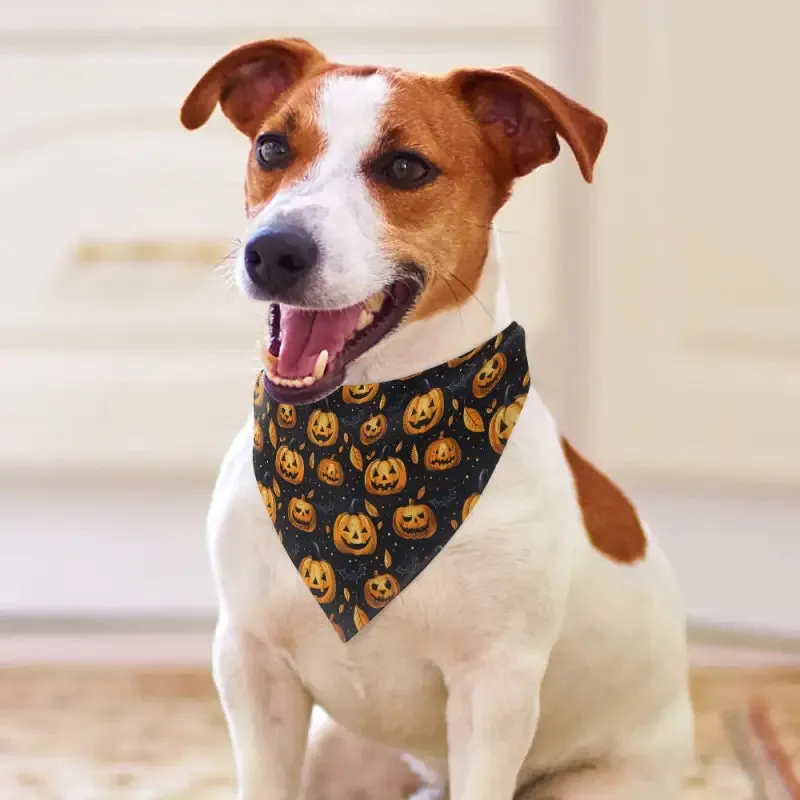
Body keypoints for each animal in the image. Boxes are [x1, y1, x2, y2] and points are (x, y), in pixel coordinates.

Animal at [181, 37, 692, 800]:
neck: (364, 430)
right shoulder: (251, 663)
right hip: (338, 753)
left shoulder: (495, 689)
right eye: (272, 147)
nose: (273, 250)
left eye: (405, 167)